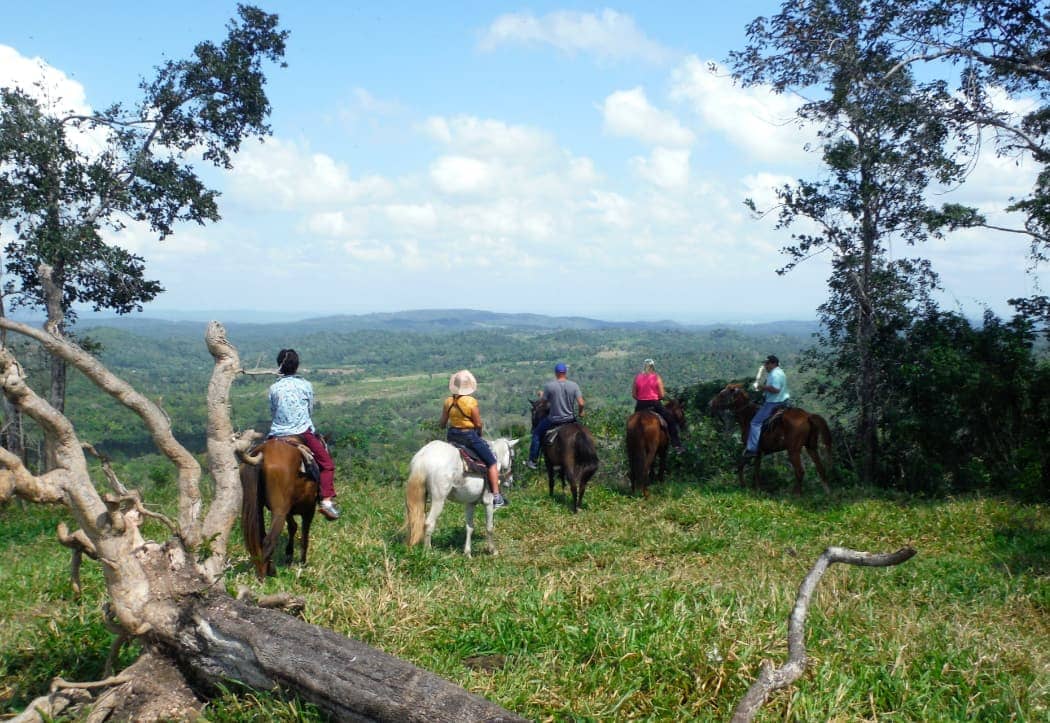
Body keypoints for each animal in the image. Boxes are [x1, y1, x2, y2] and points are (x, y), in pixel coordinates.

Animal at [241, 436, 319, 579]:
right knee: (268, 540)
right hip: (279, 512)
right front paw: (302, 562)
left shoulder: (289, 510)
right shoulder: (309, 509)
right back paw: (264, 576)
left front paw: (289, 555)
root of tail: (263, 452)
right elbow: (304, 535)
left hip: (258, 508)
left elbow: (293, 527)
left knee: (260, 537)